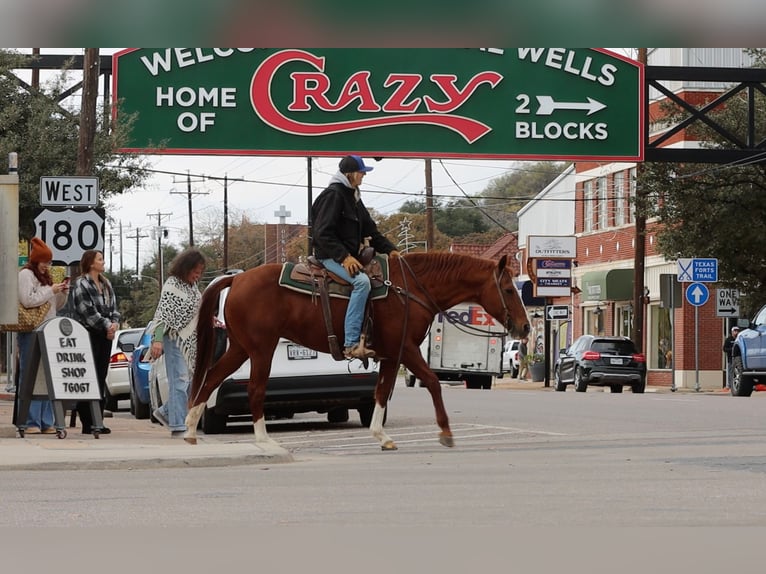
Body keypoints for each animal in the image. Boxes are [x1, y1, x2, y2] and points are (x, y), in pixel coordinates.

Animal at [187, 254, 536, 452]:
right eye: (508, 289)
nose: (525, 326)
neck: (410, 289)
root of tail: (236, 279)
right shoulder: (406, 349)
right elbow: (433, 383)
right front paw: (446, 432)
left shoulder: (389, 355)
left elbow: (381, 392)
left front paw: (381, 436)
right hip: (261, 348)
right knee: (254, 389)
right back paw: (263, 440)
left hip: (241, 347)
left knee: (211, 378)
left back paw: (190, 430)